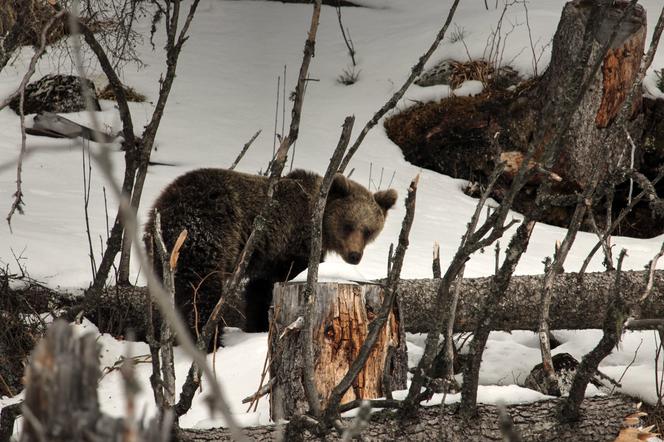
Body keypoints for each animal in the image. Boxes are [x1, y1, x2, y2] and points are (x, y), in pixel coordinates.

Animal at [148, 167, 396, 336]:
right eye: (348, 225)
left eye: (368, 230)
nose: (355, 256)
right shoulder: (293, 243)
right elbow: (288, 275)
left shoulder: (269, 254)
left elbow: (259, 289)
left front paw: (256, 325)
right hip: (208, 234)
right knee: (200, 290)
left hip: (159, 250)